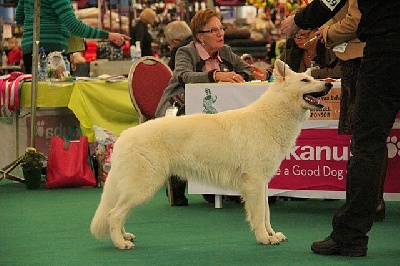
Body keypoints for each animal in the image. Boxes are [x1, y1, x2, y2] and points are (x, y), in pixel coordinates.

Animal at [90, 59, 332, 248]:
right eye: (305, 81)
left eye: (311, 78)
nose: (329, 83)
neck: (272, 115)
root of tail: (124, 136)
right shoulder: (254, 182)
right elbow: (259, 214)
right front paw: (264, 238)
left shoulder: (263, 183)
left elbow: (266, 213)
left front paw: (272, 234)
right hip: (143, 187)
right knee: (114, 215)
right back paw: (120, 243)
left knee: (117, 213)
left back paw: (124, 236)